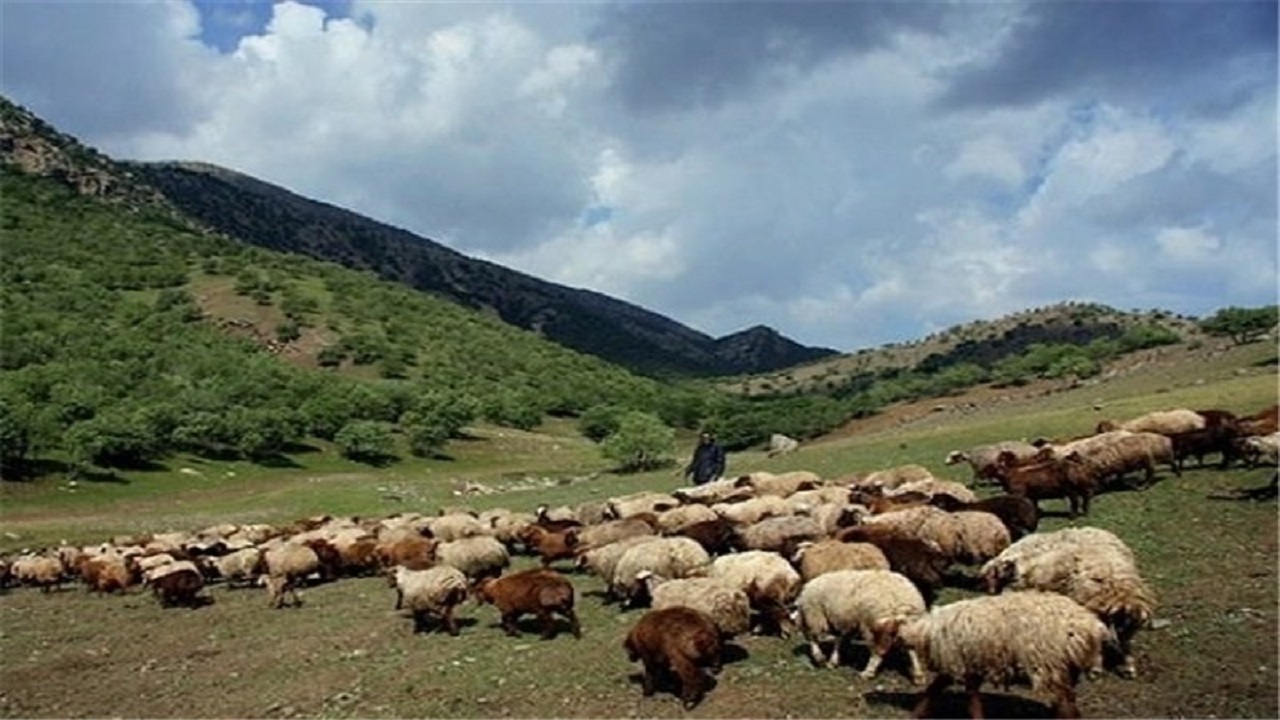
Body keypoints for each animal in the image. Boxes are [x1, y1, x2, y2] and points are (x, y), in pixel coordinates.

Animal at [793, 566, 926, 676]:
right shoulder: (851, 623)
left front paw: (821, 658)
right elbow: (840, 640)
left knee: (875, 649)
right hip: (908, 627)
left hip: (862, 624)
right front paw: (833, 661)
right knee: (911, 647)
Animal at [901, 589, 1111, 717]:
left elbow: (945, 690)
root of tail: (1092, 626)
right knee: (1068, 702)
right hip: (1064, 667)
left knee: (1066, 705)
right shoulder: (969, 663)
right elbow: (959, 693)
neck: (922, 630)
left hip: (1049, 662)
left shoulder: (957, 660)